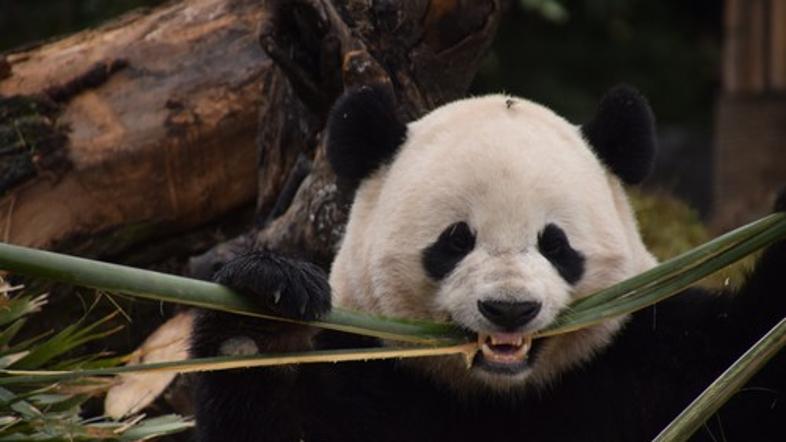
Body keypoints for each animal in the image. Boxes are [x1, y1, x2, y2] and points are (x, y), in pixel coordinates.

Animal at [191, 85, 786, 442]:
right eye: (456, 240)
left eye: (555, 245)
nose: (509, 309)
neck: (499, 394)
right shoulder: (365, 370)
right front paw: (267, 304)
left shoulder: (651, 356)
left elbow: (750, 379)